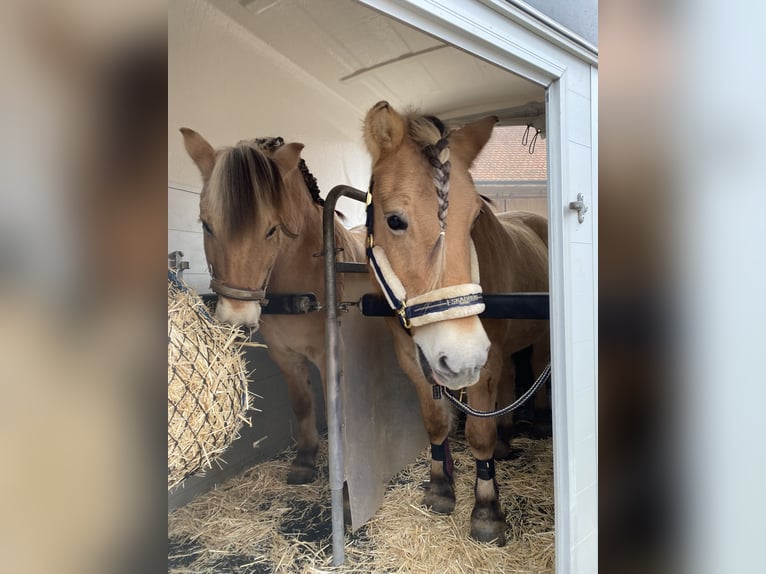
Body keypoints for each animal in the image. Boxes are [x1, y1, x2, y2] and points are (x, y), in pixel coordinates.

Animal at [180, 128, 365, 484]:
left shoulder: (330, 355)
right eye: (207, 225)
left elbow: (337, 411)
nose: (236, 319)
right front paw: (305, 460)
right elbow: (302, 403)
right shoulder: (284, 355)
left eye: (272, 229)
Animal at [362, 101, 549, 545]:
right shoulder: (415, 364)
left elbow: (478, 436)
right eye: (394, 220)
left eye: (475, 217)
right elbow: (435, 425)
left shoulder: (485, 364)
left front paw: (486, 510)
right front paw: (440, 489)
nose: (463, 355)